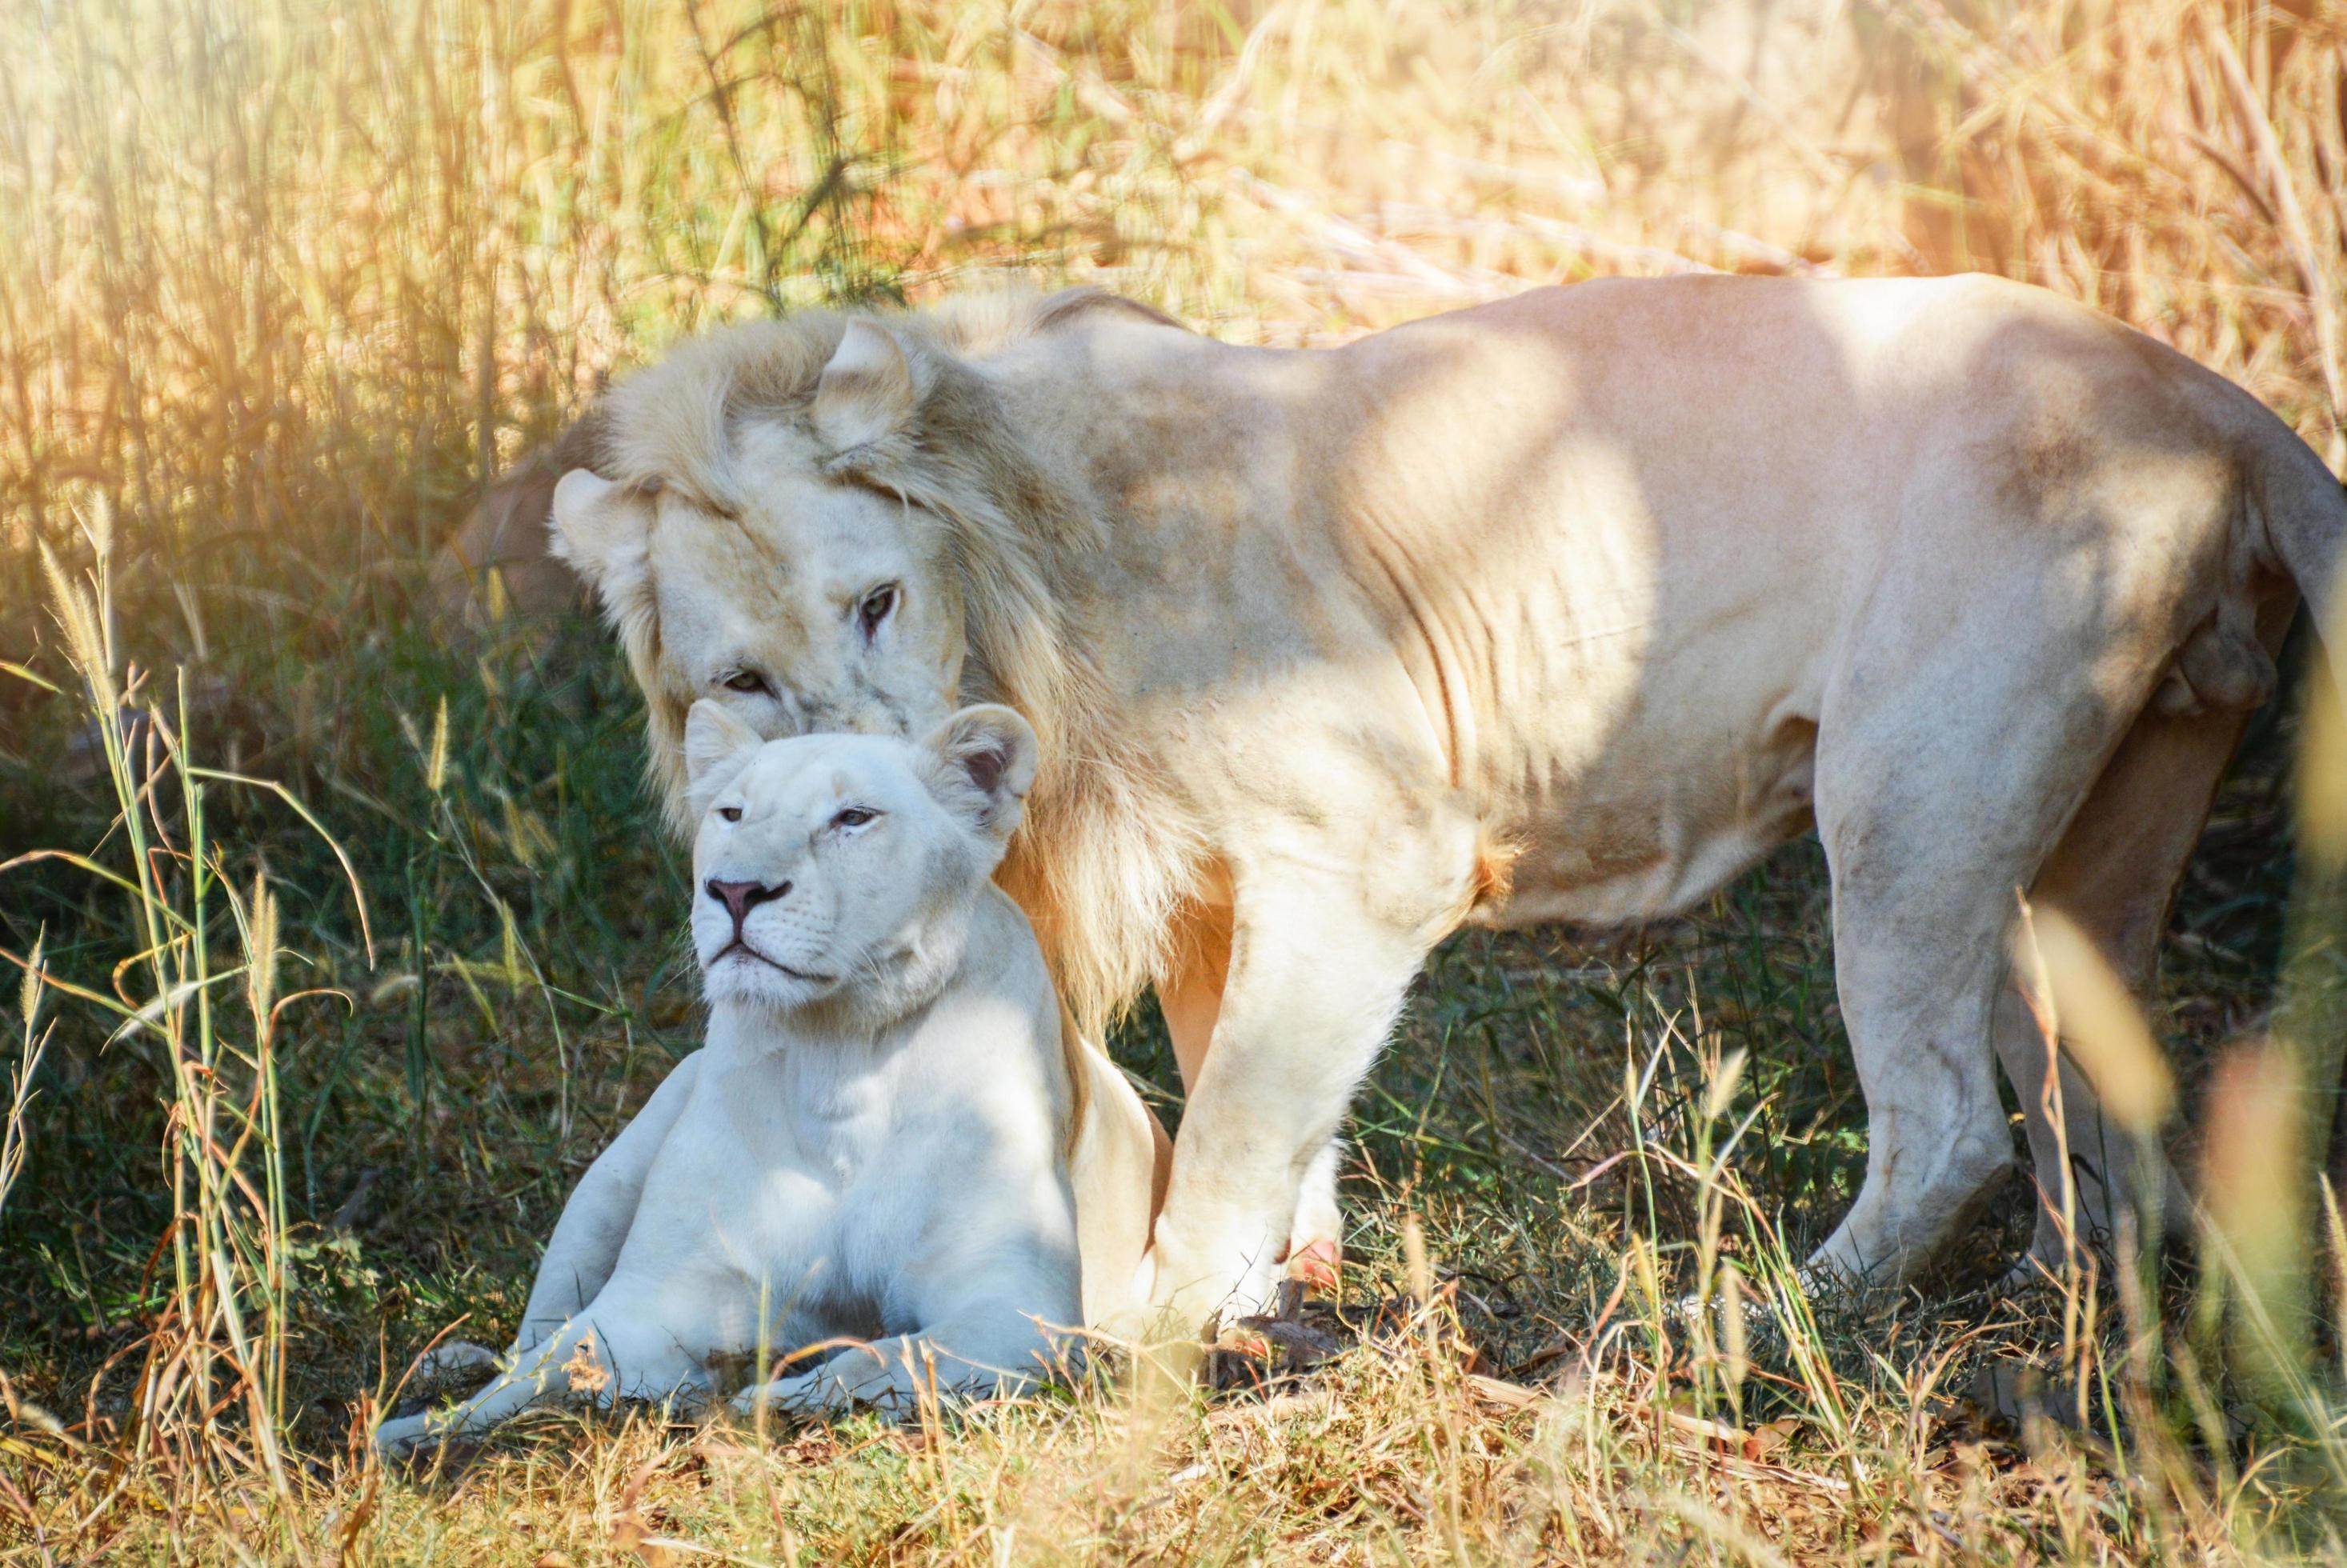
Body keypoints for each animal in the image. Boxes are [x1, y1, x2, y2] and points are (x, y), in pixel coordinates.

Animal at [537, 275, 2347, 1333]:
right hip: (2095, 834)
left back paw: (1757, 1316)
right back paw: (2064, 1314)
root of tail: (2215, 401)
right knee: (2098, 1097)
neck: (1031, 564)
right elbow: (1246, 1082)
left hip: (1908, 802)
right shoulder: (1212, 884)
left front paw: (1152, 1329)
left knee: (1948, 1118)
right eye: (742, 678)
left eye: (873, 603)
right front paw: (1285, 1284)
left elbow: (1232, 1120)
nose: (868, 800)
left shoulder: (1372, 848)